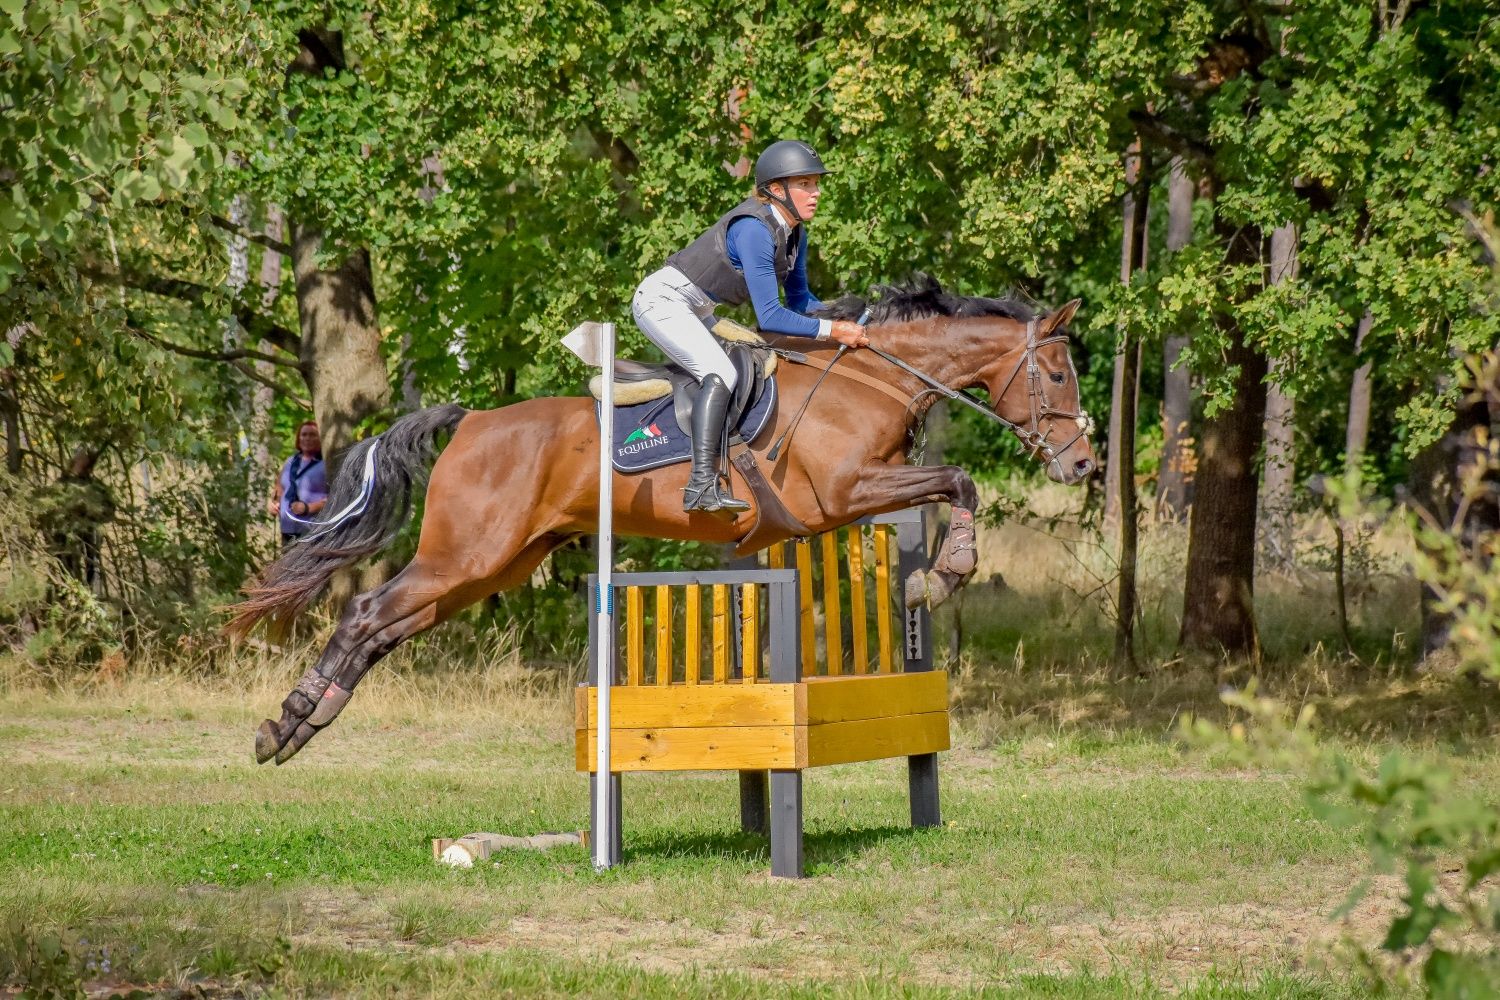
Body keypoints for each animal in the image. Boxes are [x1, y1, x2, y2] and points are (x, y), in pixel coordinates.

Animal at [228, 281, 1098, 767]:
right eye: (1057, 374)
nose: (1084, 465)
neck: (866, 379)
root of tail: (472, 419)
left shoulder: (861, 492)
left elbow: (952, 483)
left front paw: (935, 576)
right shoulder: (843, 491)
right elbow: (960, 480)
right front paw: (942, 576)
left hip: (494, 564)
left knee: (387, 626)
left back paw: (301, 721)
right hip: (467, 553)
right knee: (367, 611)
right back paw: (290, 723)